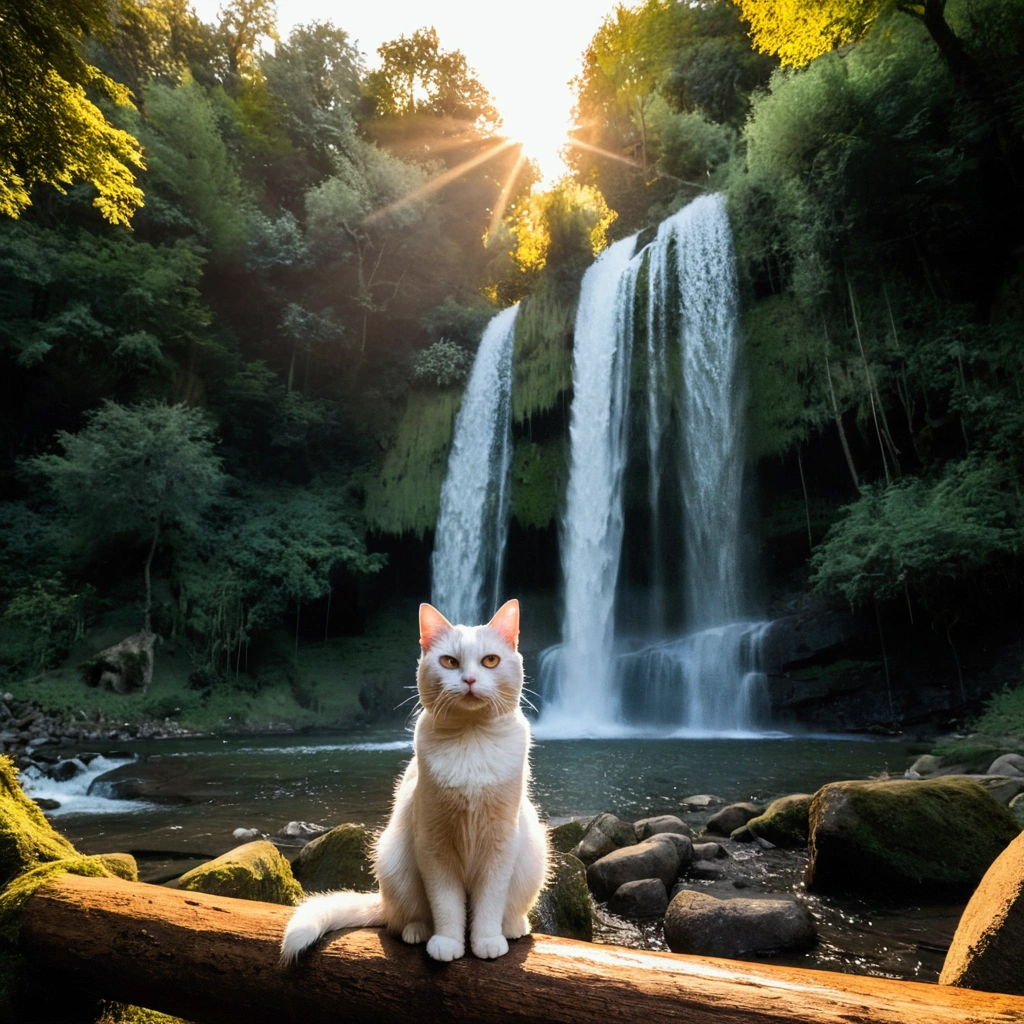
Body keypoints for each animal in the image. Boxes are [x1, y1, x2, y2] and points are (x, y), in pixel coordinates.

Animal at [280, 598, 548, 962]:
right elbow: (446, 904)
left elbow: (489, 902)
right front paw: (448, 942)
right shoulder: (433, 844)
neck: (471, 738)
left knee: (506, 908)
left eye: (490, 661)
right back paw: (418, 931)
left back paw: (511, 927)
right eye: (449, 662)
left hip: (532, 849)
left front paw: (486, 941)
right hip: (396, 859)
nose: (469, 679)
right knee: (404, 917)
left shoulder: (501, 843)